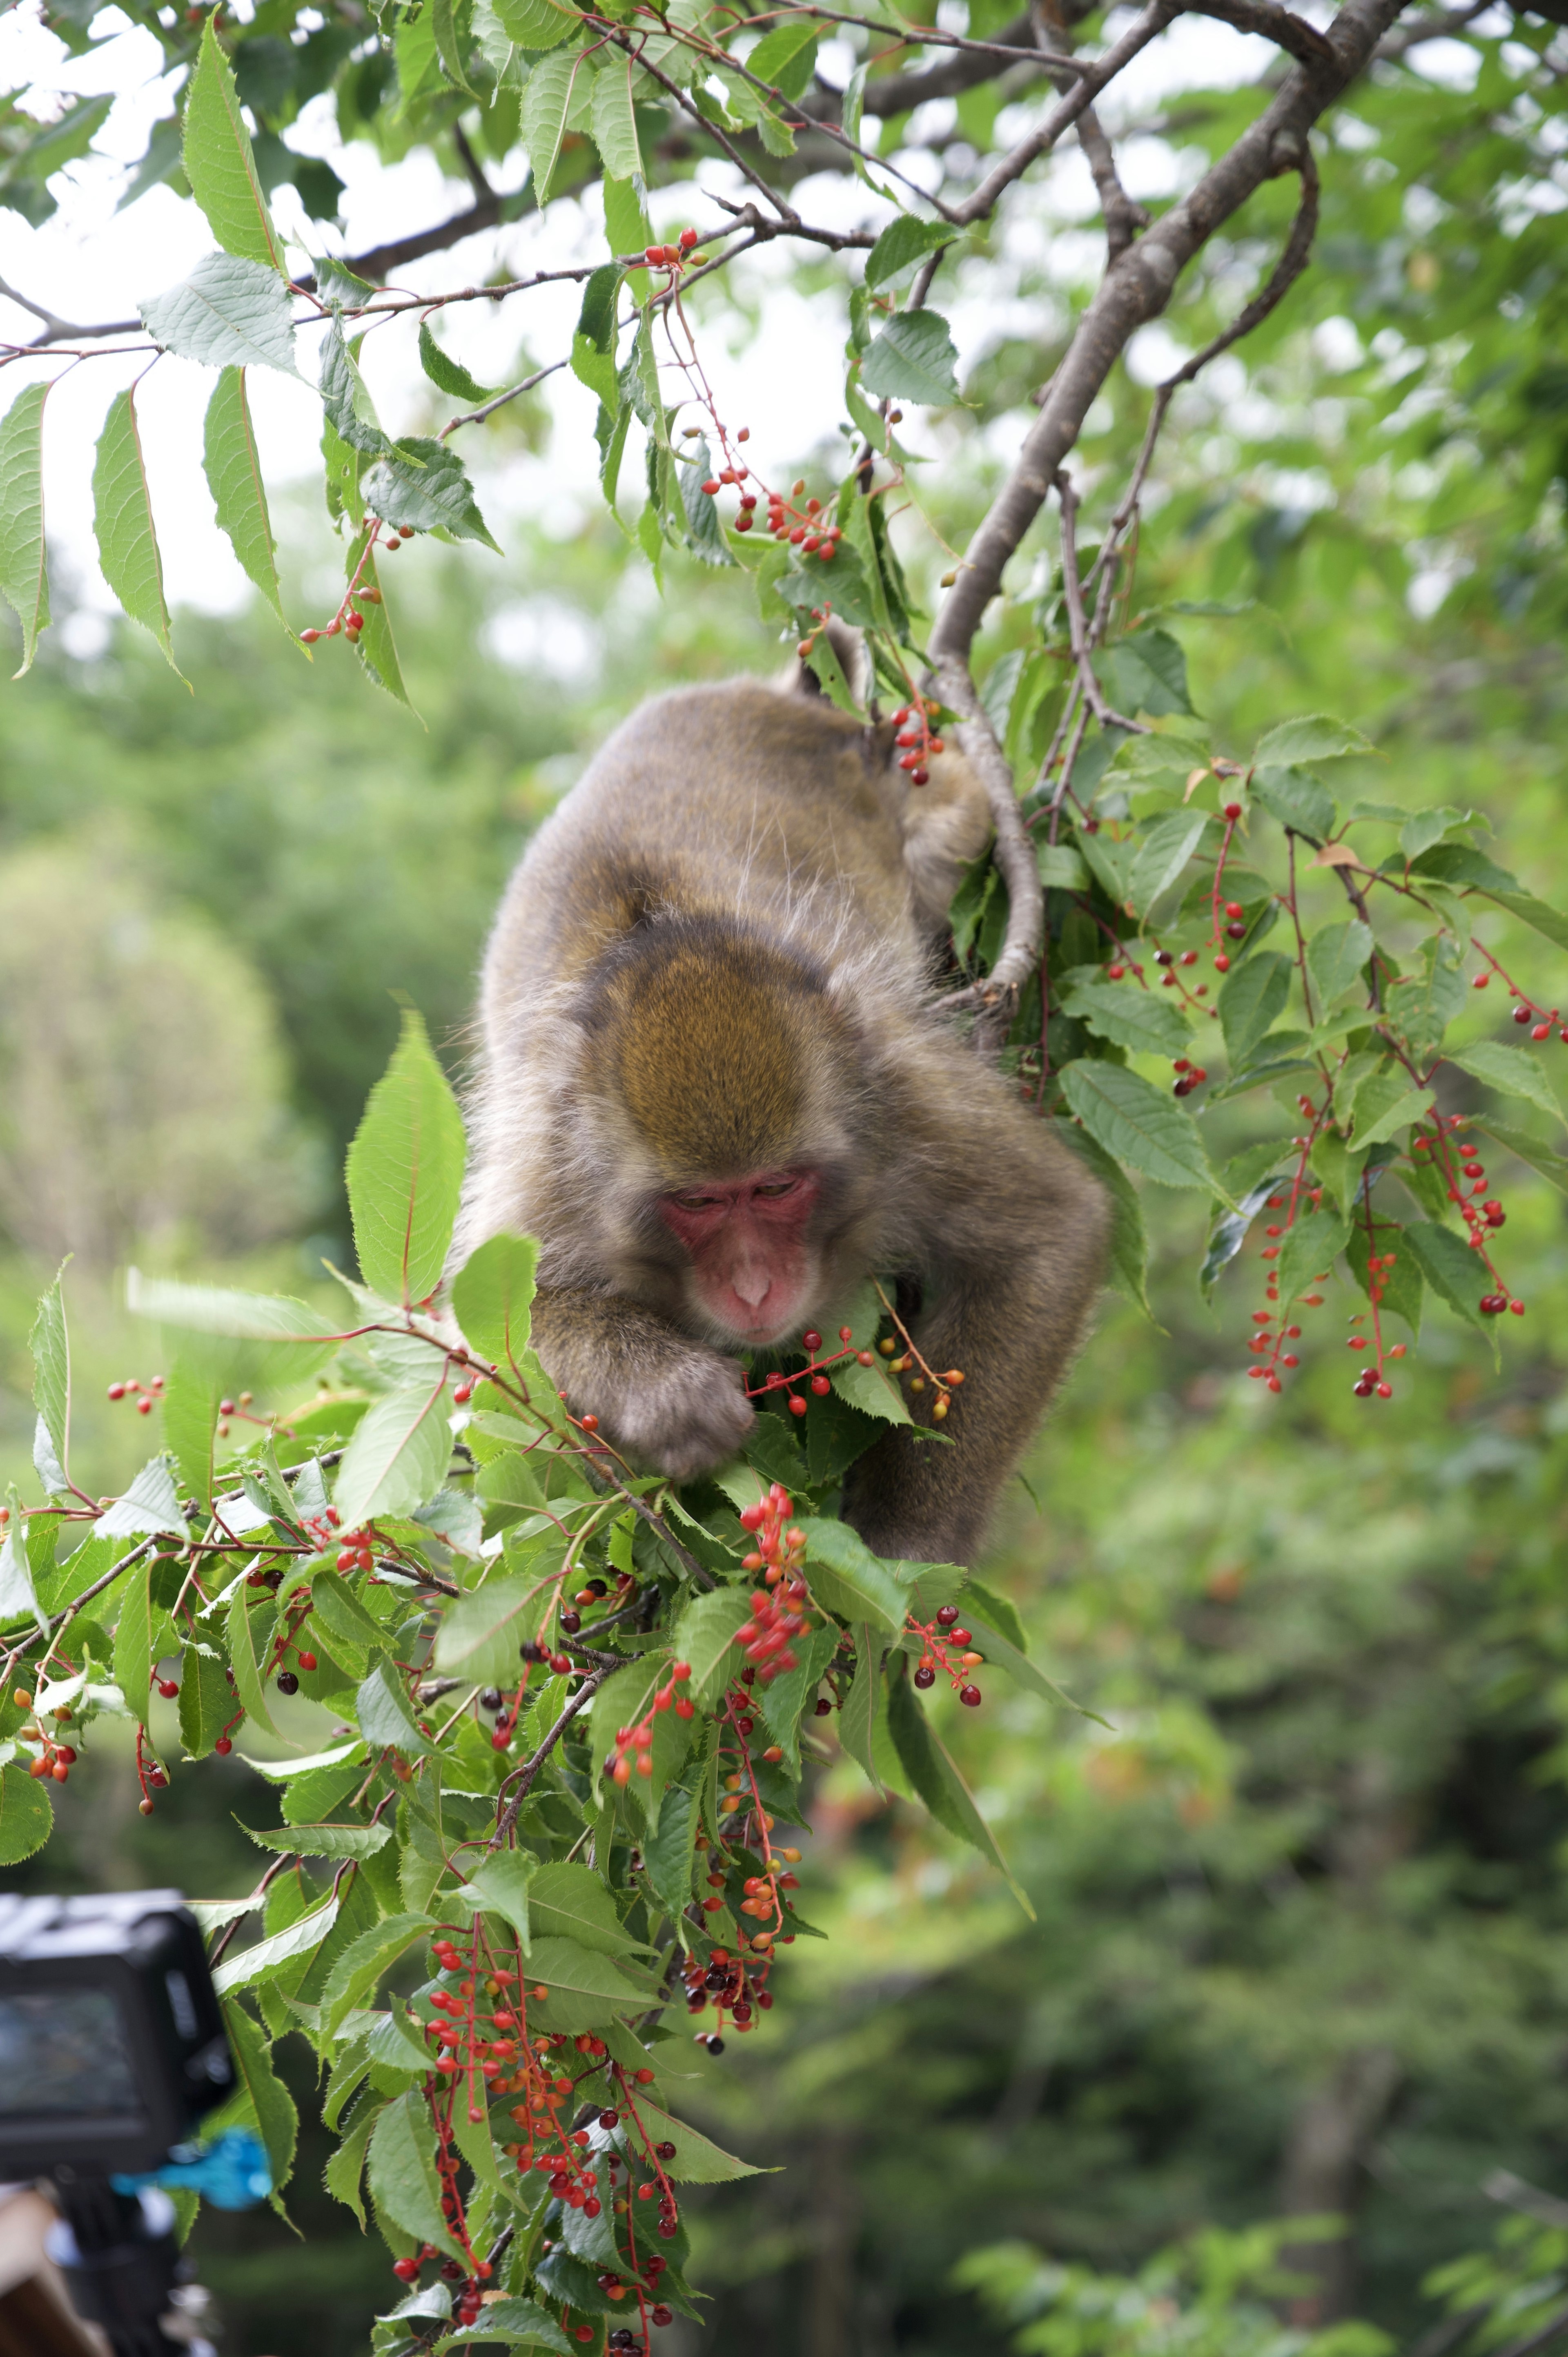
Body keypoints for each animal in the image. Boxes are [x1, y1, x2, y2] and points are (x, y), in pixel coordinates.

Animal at [452, 655, 1108, 1565]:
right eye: (698, 1202)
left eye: (777, 1188)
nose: (755, 1287)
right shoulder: (552, 1167)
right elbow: (494, 1325)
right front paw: (668, 1395)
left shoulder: (898, 1093)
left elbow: (1053, 1230)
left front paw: (913, 1533)